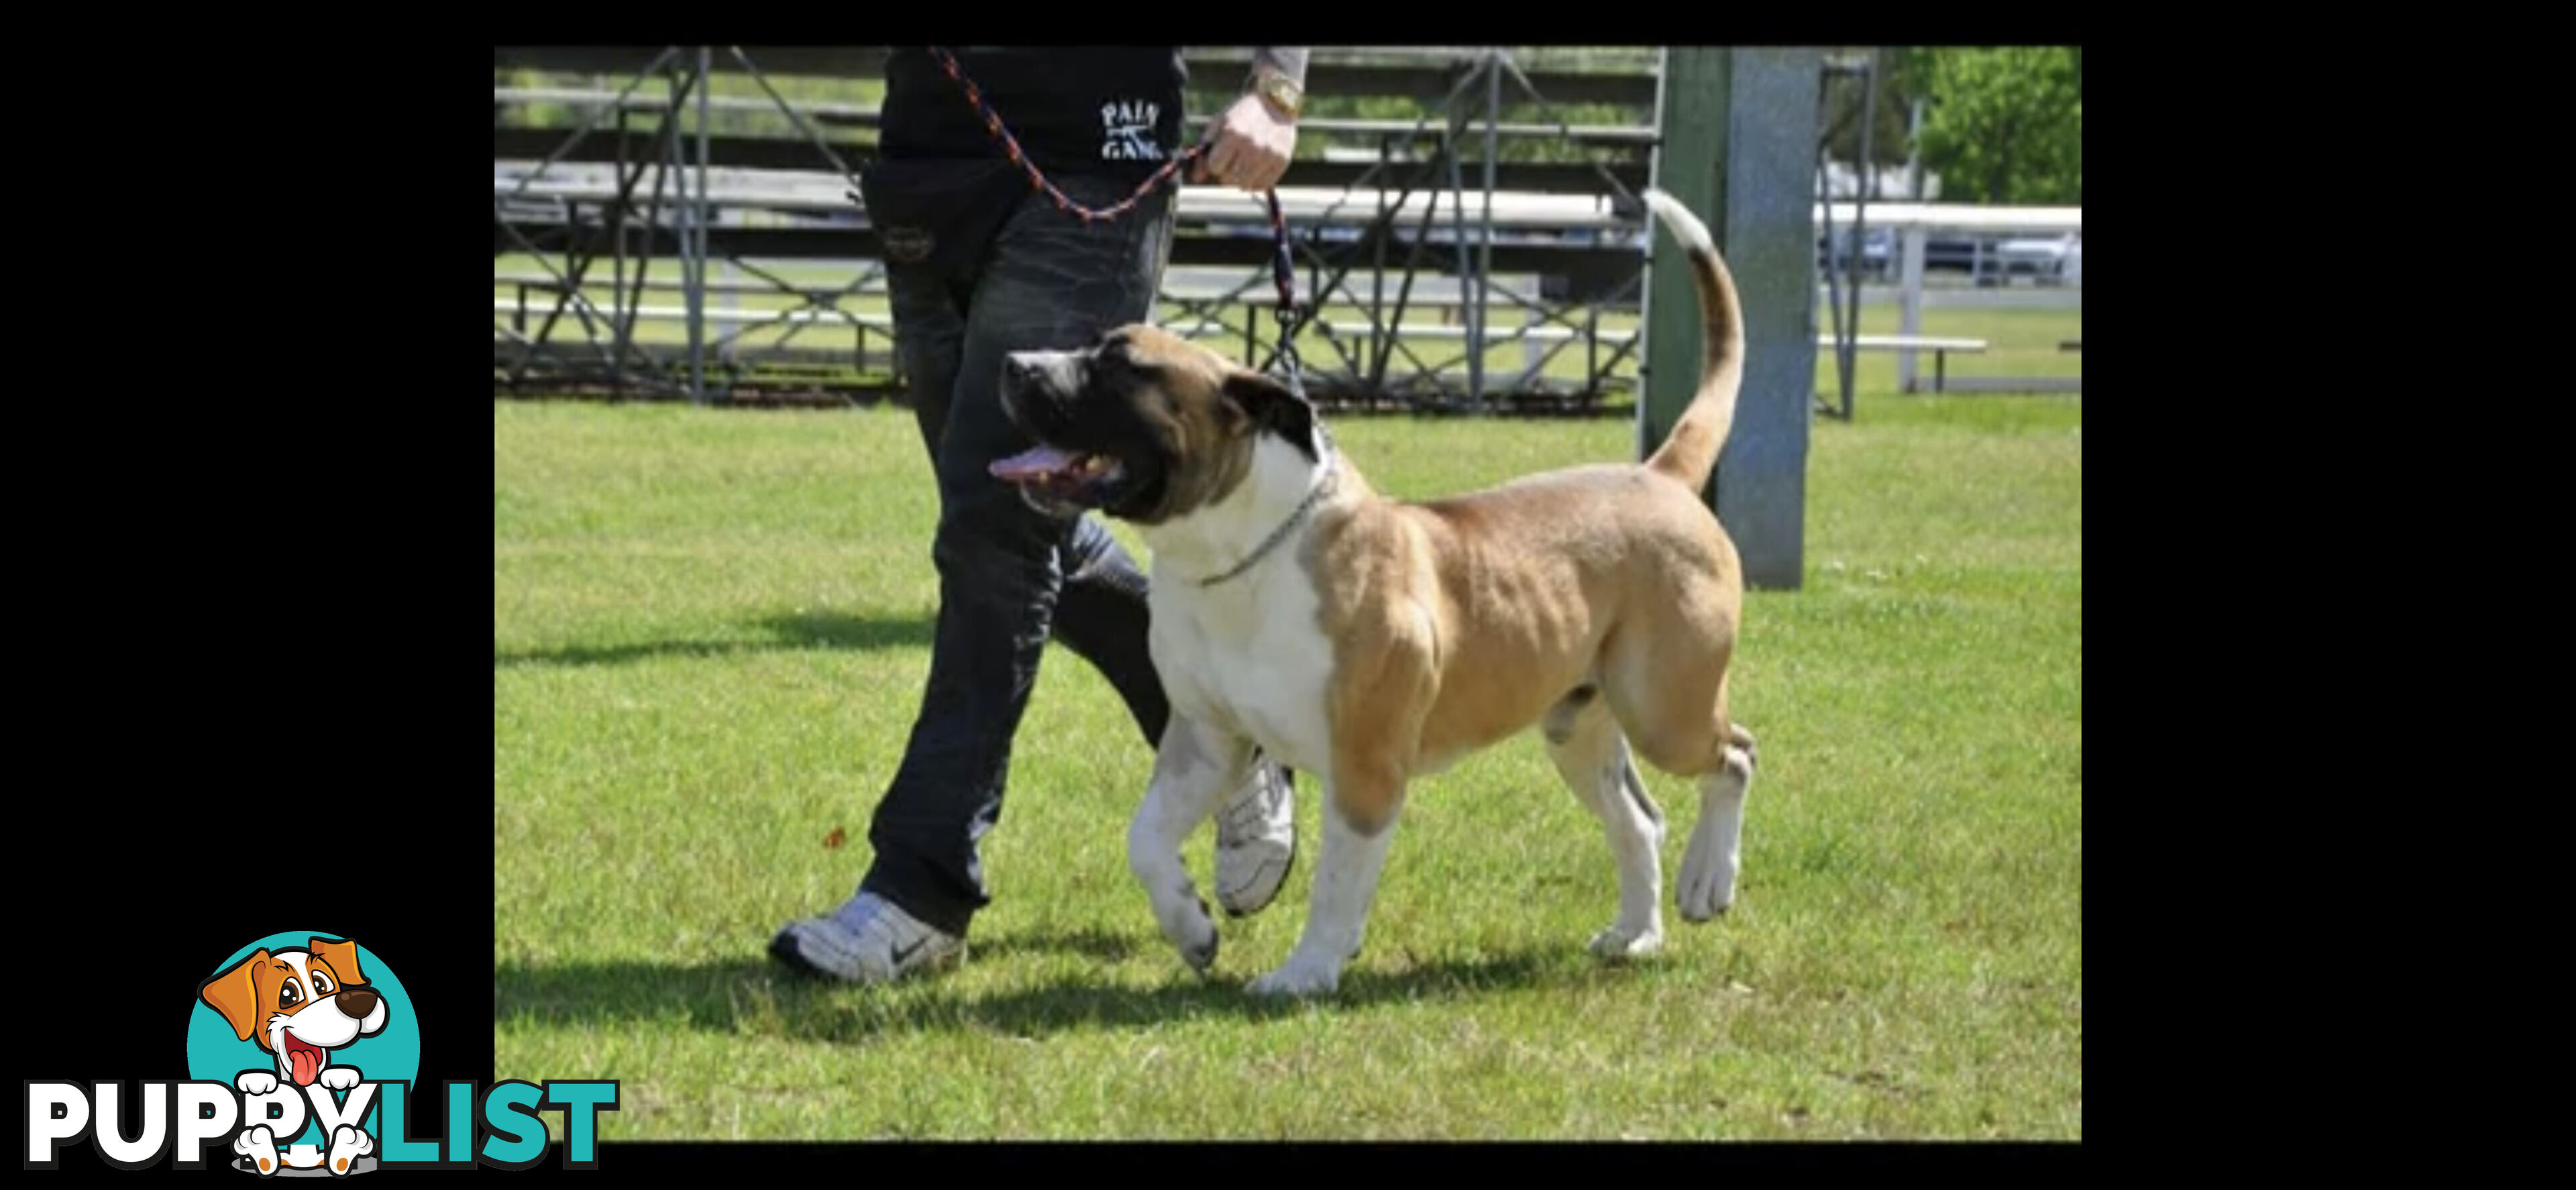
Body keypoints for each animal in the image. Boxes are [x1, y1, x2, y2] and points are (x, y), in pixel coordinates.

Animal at [979, 191, 1752, 999]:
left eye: (1120, 366)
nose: (1013, 362)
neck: (1237, 556)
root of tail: (1660, 477)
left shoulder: (1365, 767)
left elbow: (1335, 882)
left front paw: (1305, 972)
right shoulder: (1205, 741)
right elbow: (1147, 839)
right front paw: (1192, 927)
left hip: (1664, 706)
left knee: (1734, 756)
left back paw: (1708, 881)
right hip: (1578, 723)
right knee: (1639, 820)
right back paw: (1637, 934)